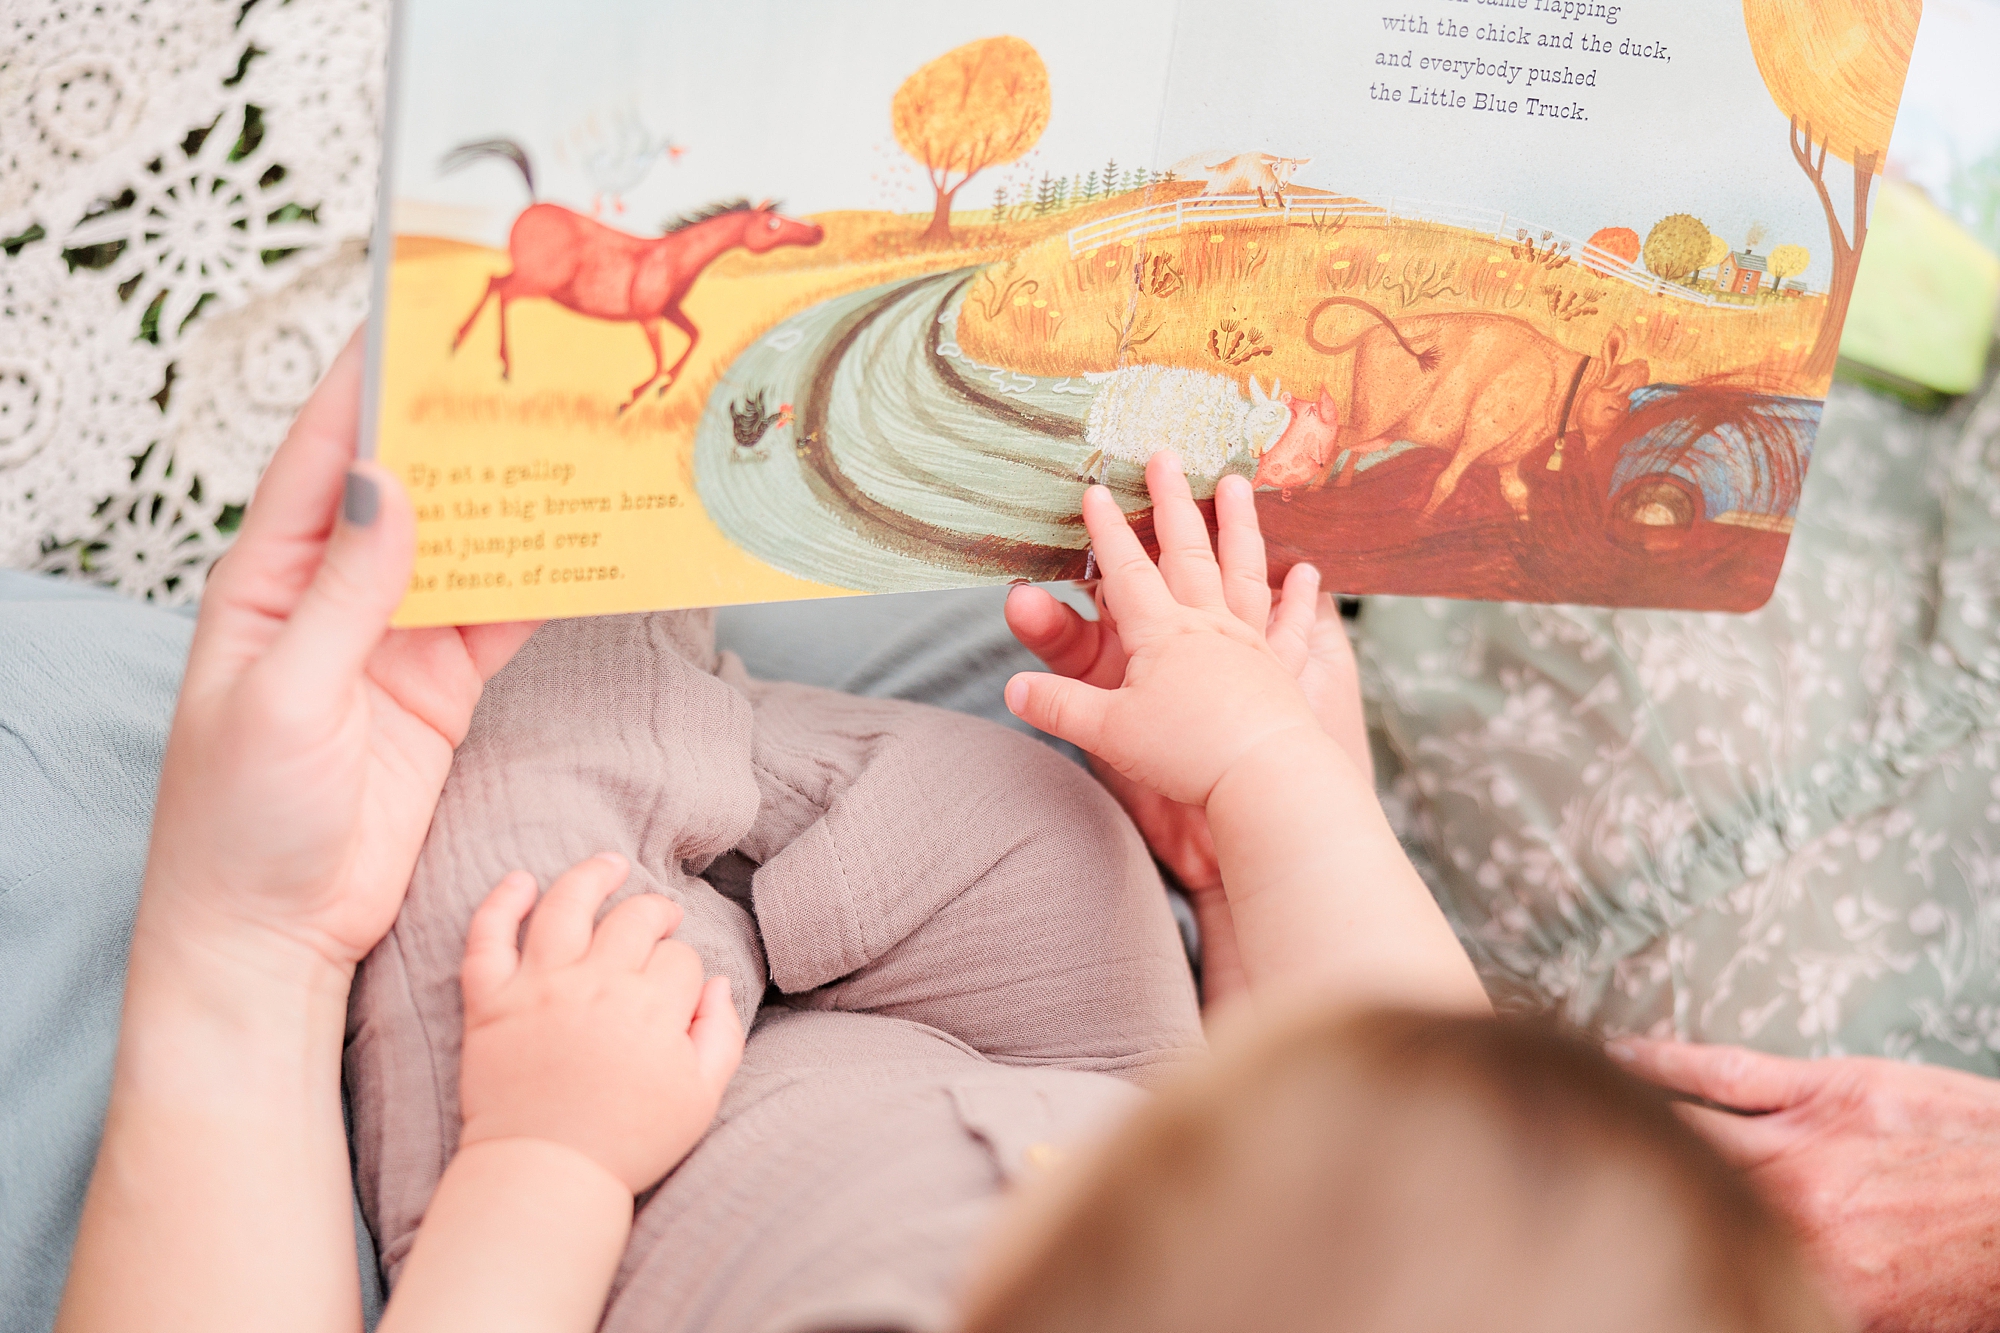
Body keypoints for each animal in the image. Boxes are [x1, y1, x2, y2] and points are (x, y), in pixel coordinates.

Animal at [442, 139, 824, 410]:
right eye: (772, 224)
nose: (816, 232)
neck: (672, 259)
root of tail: (532, 205)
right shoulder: (647, 317)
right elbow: (659, 362)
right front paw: (630, 399)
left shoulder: (670, 311)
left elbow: (694, 336)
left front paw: (665, 387)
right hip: (539, 283)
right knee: (503, 292)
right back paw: (499, 363)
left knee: (494, 283)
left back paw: (462, 343)